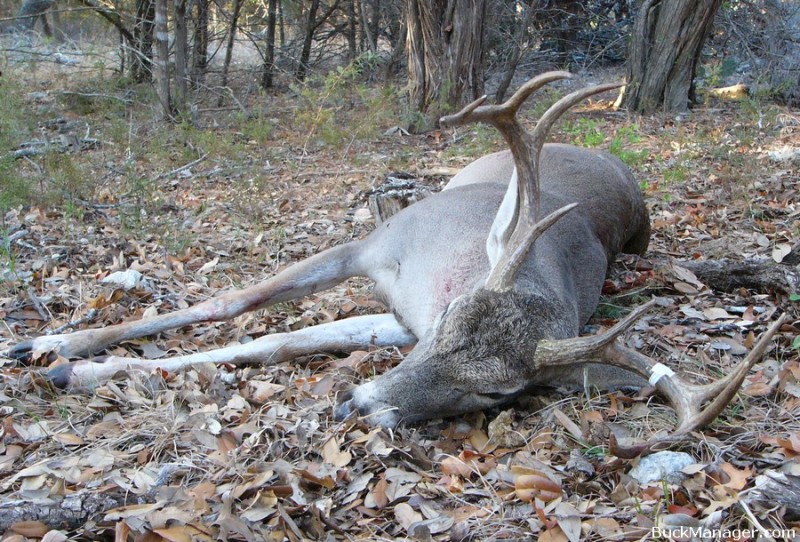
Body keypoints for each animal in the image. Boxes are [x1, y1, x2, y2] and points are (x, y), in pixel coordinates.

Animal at [7, 72, 785, 456]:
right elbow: (235, 304)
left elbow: (278, 342)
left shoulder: (394, 316)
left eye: (496, 394)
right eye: (447, 324)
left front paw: (78, 369)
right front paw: (55, 343)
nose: (358, 403)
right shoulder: (377, 249)